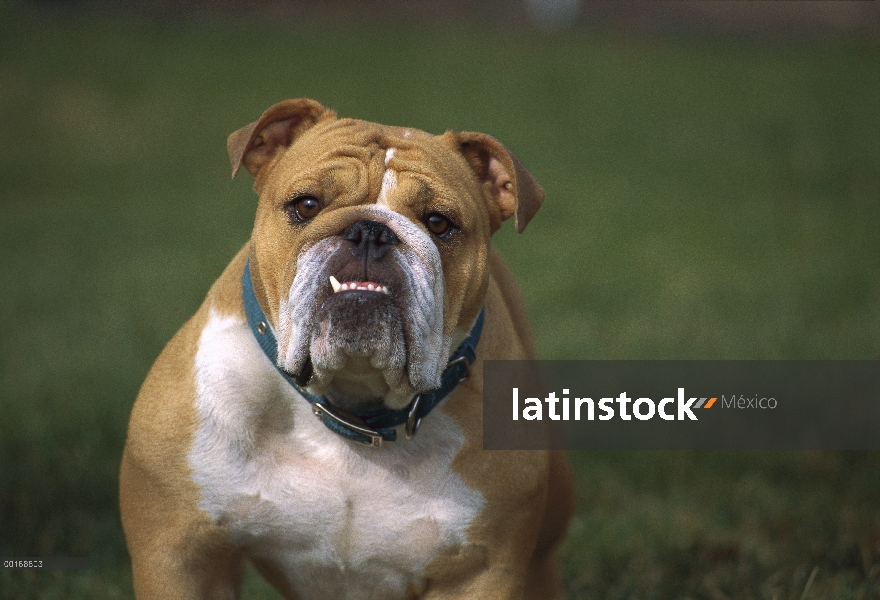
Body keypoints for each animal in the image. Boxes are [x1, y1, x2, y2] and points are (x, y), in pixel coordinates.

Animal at [120, 99, 576, 600]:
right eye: (306, 205)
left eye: (439, 223)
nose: (370, 231)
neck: (351, 406)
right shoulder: (181, 556)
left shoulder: (479, 572)